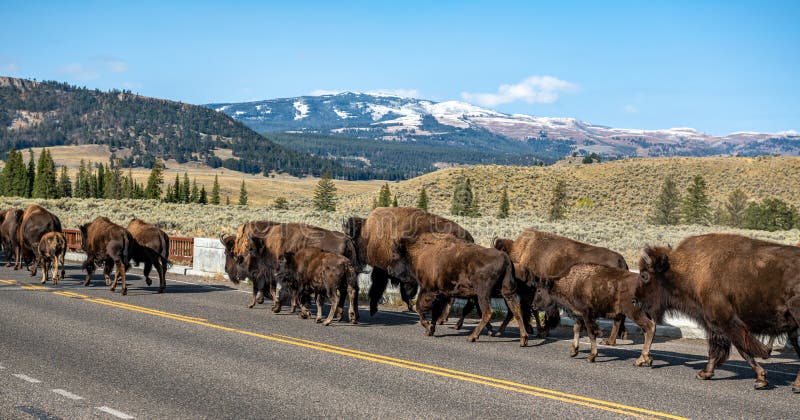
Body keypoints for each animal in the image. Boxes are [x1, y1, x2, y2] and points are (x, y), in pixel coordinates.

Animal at [344, 207, 476, 316]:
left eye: (353, 241)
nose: (354, 263)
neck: (368, 233)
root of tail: (470, 238)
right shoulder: (383, 270)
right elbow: (379, 287)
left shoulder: (393, 270)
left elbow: (401, 288)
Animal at [386, 231, 528, 346]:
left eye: (395, 254)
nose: (389, 270)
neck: (421, 251)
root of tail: (505, 257)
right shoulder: (441, 293)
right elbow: (434, 312)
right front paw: (431, 329)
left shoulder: (428, 289)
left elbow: (420, 308)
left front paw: (428, 328)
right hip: (507, 291)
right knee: (516, 310)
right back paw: (523, 339)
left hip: (483, 293)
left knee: (488, 312)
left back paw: (472, 337)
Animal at [636, 235, 800, 392]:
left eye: (644, 275)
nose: (635, 300)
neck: (688, 268)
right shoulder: (718, 326)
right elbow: (721, 350)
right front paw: (705, 373)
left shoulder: (724, 323)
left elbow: (739, 350)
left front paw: (760, 379)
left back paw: (796, 385)